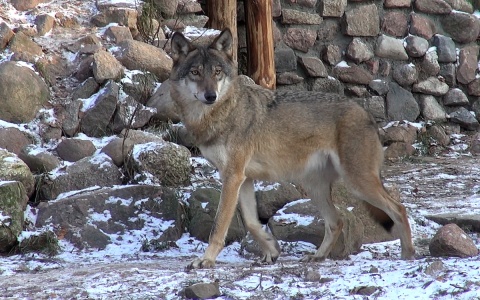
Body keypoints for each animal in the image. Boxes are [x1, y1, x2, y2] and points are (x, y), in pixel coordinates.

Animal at [169, 28, 416, 270]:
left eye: (217, 72)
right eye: (195, 72)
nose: (210, 96)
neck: (219, 114)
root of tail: (366, 114)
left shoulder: (233, 177)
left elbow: (219, 225)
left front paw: (206, 260)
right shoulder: (243, 178)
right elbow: (251, 222)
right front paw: (271, 250)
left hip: (357, 183)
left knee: (399, 209)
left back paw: (408, 255)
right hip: (315, 186)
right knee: (337, 221)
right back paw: (318, 257)